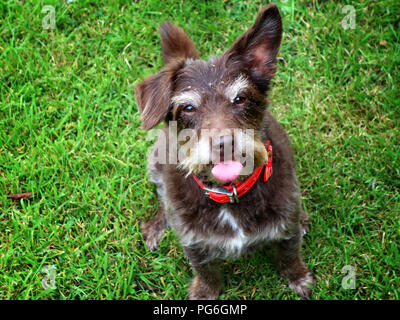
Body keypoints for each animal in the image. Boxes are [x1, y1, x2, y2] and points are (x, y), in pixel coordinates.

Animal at [136, 4, 314, 300]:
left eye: (240, 98)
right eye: (188, 108)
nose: (224, 143)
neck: (229, 194)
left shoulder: (286, 229)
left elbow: (290, 255)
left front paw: (299, 278)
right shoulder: (194, 243)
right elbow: (205, 271)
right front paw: (205, 292)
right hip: (155, 164)